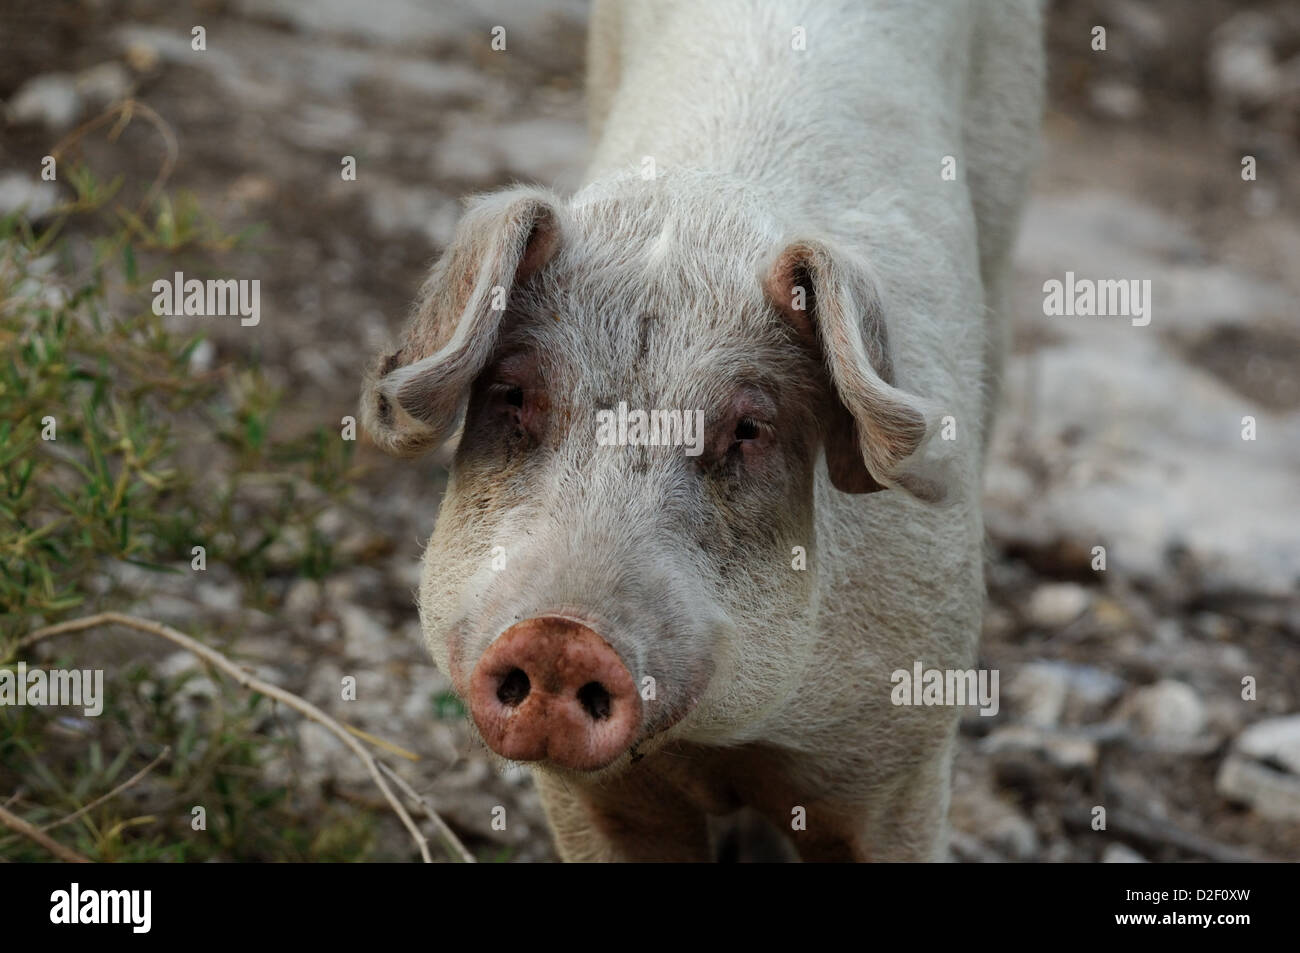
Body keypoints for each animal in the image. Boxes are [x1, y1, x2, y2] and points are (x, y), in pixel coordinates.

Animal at [361, 0, 1043, 861]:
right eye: (513, 395)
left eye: (748, 427)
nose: (559, 633)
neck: (723, 743)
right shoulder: (589, 795)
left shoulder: (903, 753)